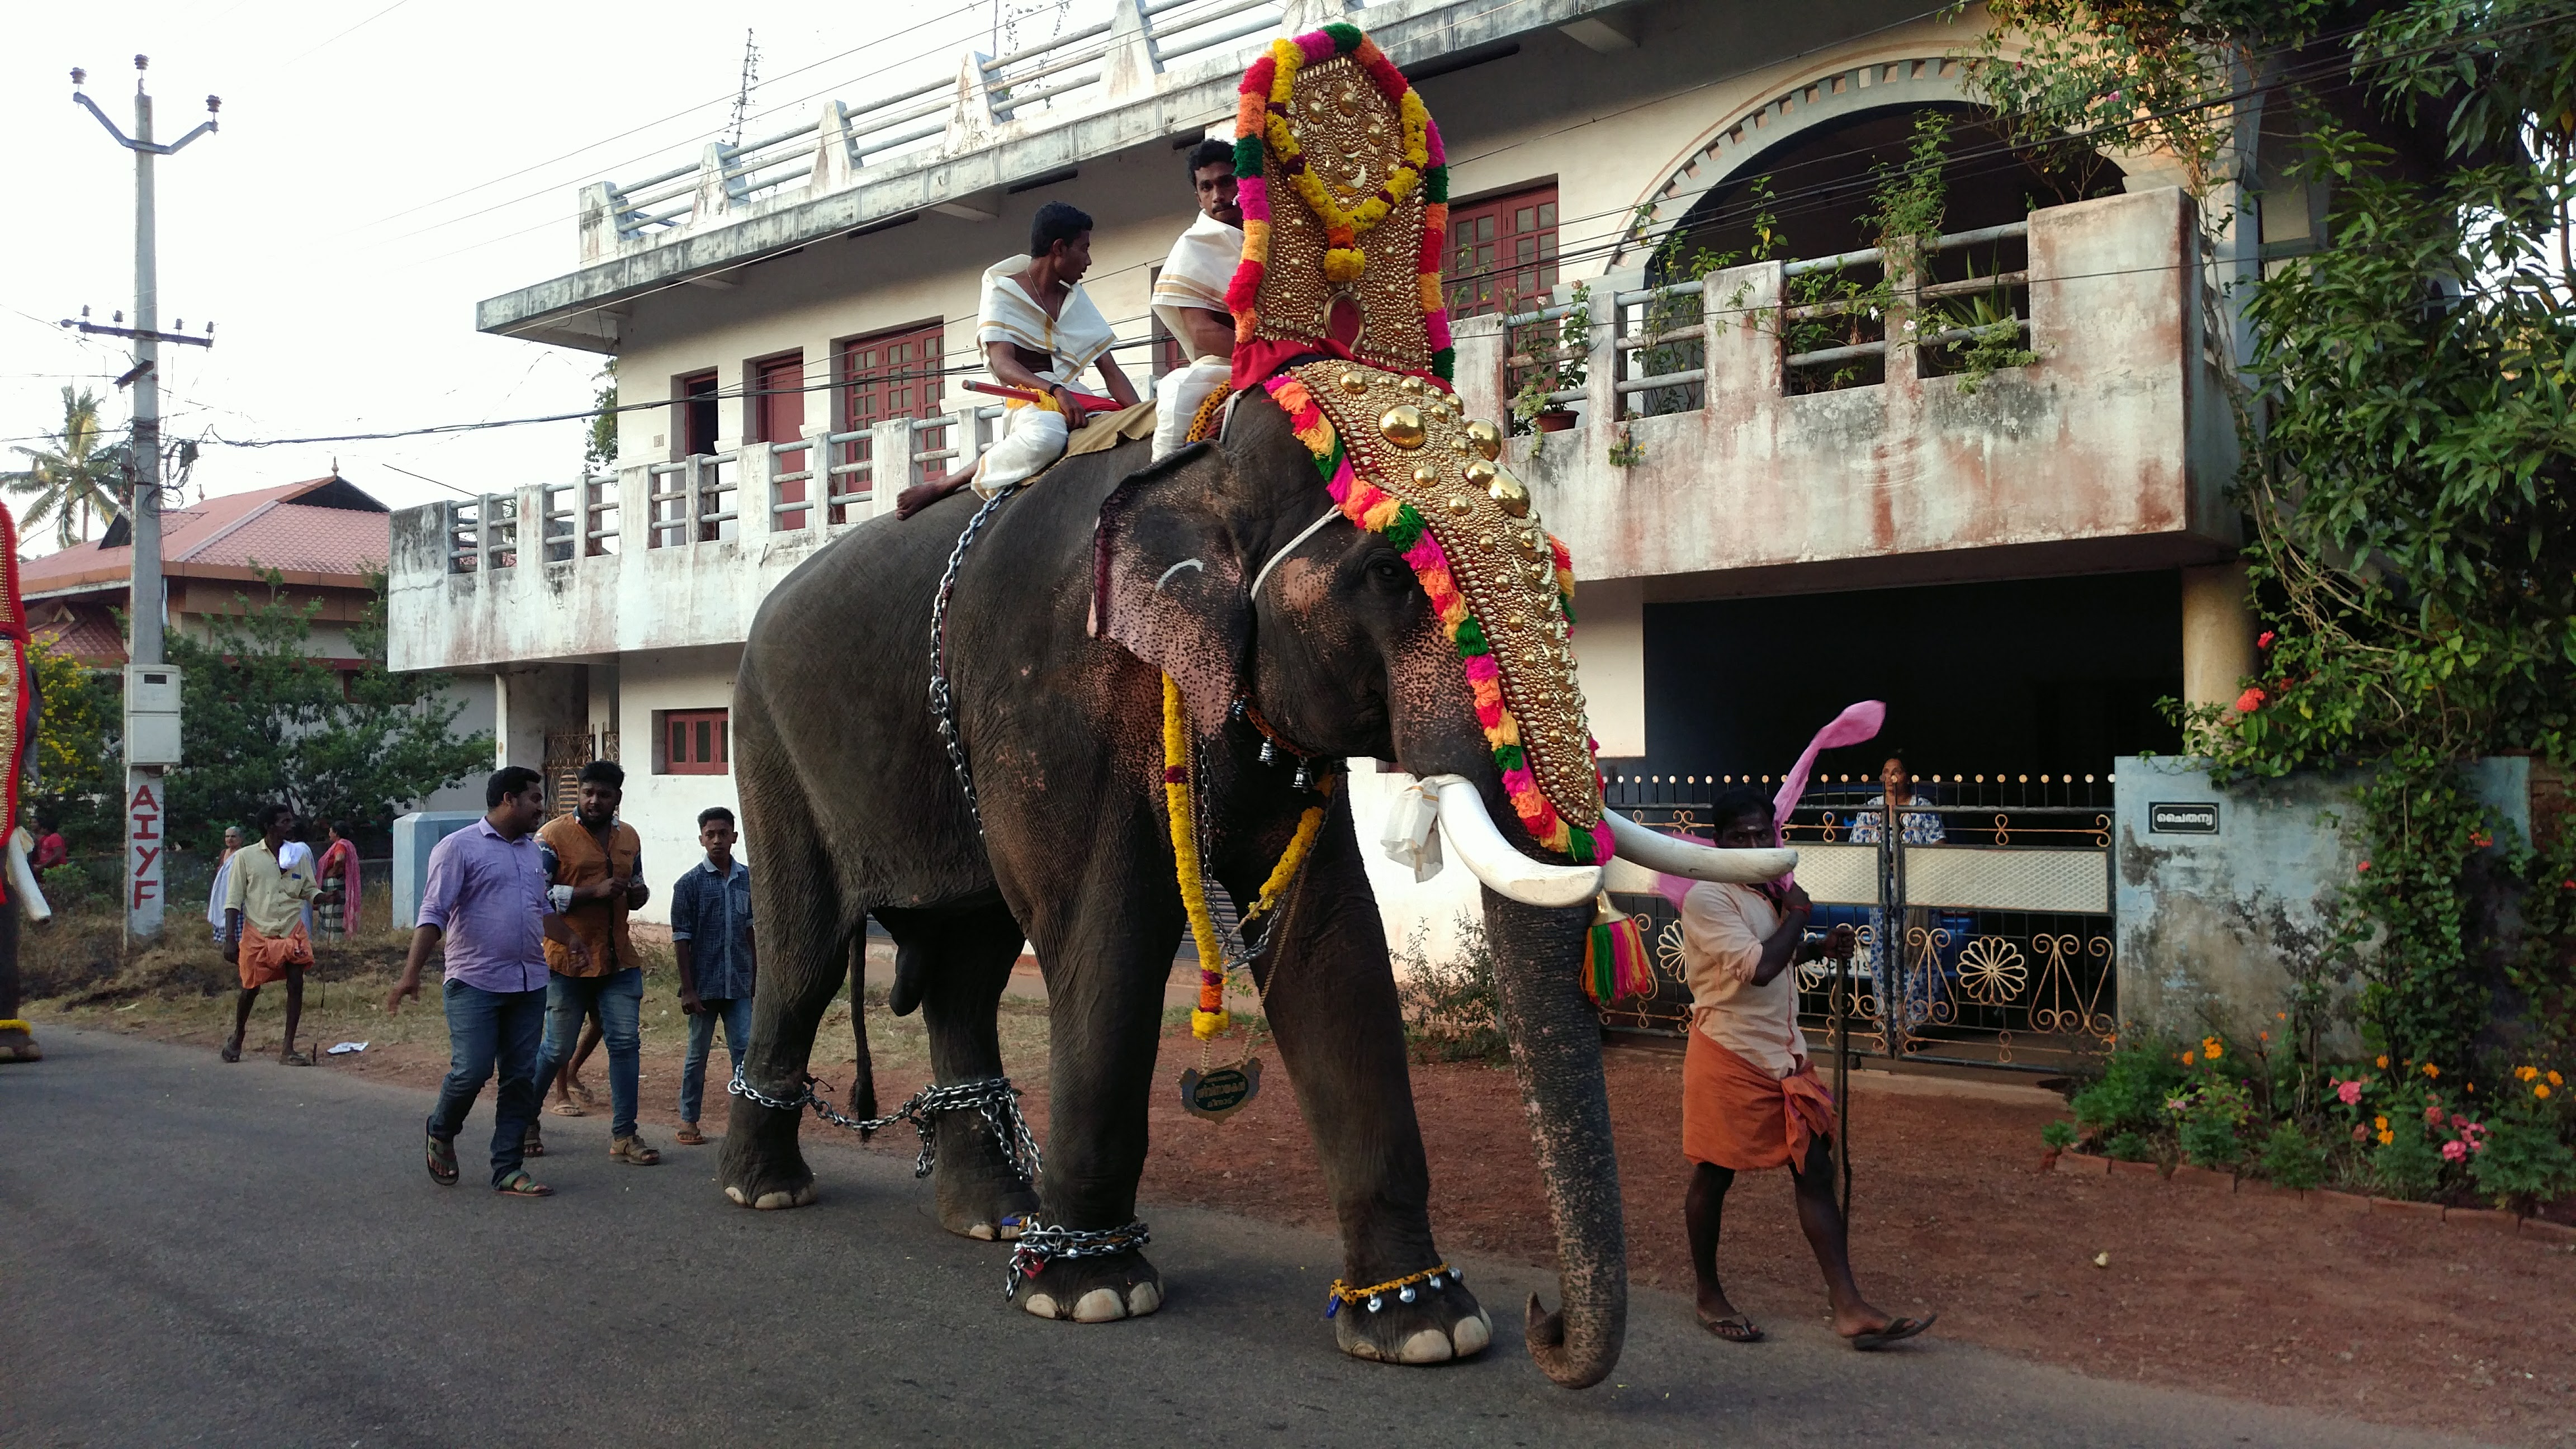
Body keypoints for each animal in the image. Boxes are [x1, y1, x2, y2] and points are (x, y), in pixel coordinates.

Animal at [716, 389, 1782, 1382]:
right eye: (1389, 574)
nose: (1546, 1321)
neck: (1207, 461)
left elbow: (1334, 948)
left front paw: (1424, 1325)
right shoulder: (1051, 701)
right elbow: (1107, 941)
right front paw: (1092, 1293)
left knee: (963, 968)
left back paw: (993, 1220)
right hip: (764, 739)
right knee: (806, 957)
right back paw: (769, 1191)